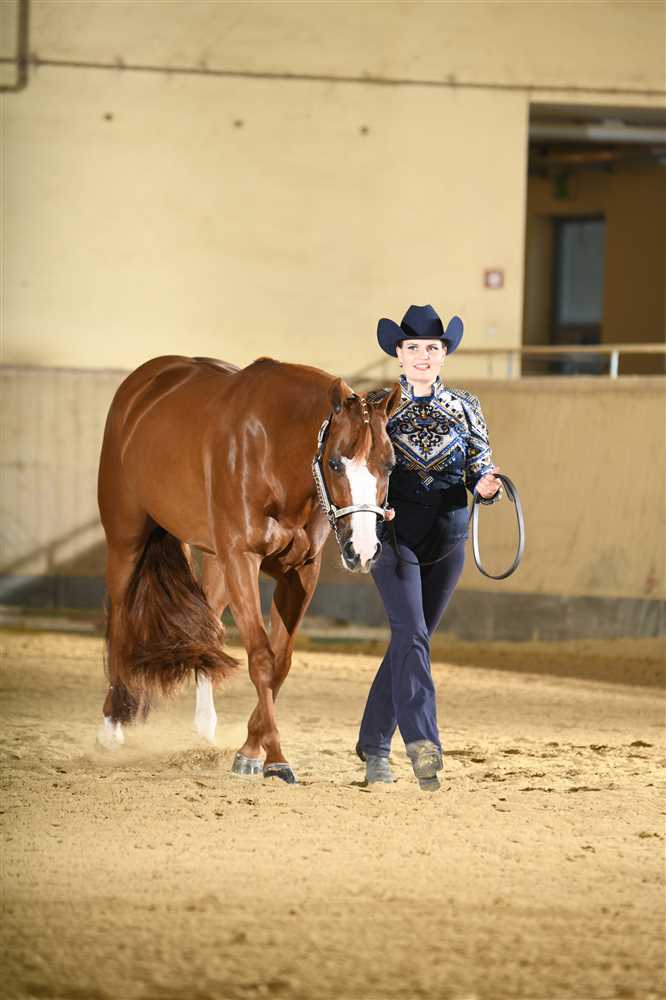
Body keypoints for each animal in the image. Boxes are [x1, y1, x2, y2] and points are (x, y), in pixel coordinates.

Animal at [96, 355, 401, 782]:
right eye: (336, 463)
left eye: (389, 465)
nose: (363, 550)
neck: (273, 451)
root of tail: (142, 382)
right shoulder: (242, 559)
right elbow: (261, 657)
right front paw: (274, 758)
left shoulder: (299, 573)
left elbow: (280, 662)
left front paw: (250, 750)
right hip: (127, 538)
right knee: (120, 617)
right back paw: (112, 725)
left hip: (213, 559)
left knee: (209, 628)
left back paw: (204, 726)